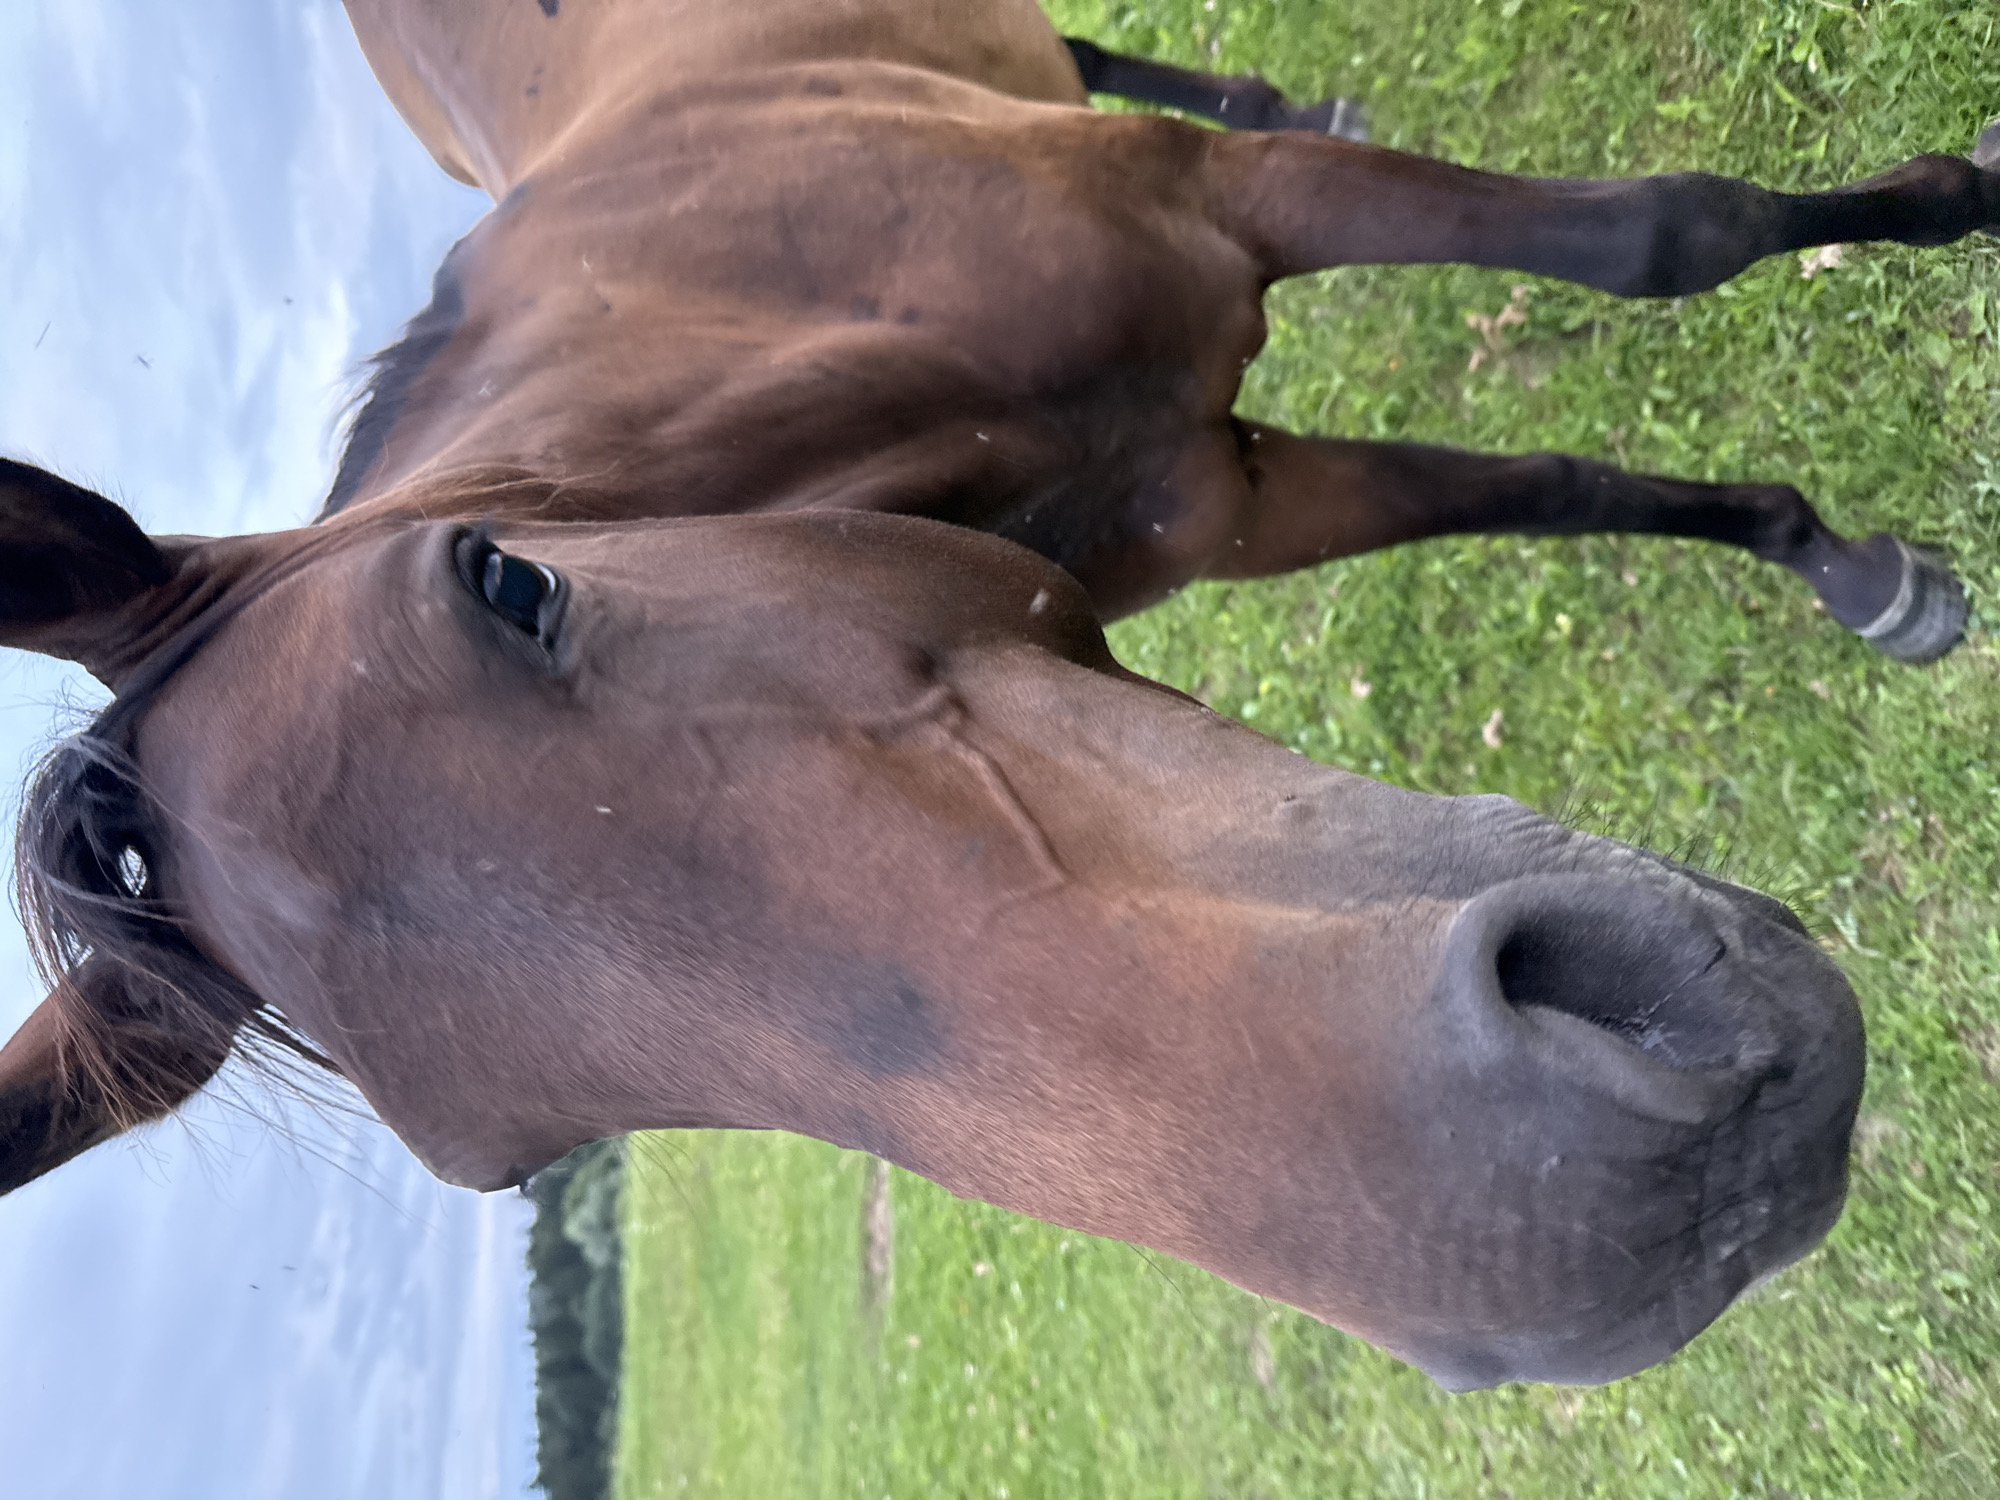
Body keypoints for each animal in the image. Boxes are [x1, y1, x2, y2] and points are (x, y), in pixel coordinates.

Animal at [1, 0, 1993, 1392]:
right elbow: (1565, 478)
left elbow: (1665, 238)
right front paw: (1835, 551)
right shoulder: (1238, 497)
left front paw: (1944, 225)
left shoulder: (1211, 230)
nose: (1614, 1208)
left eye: (504, 584)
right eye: (517, 1163)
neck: (775, 301)